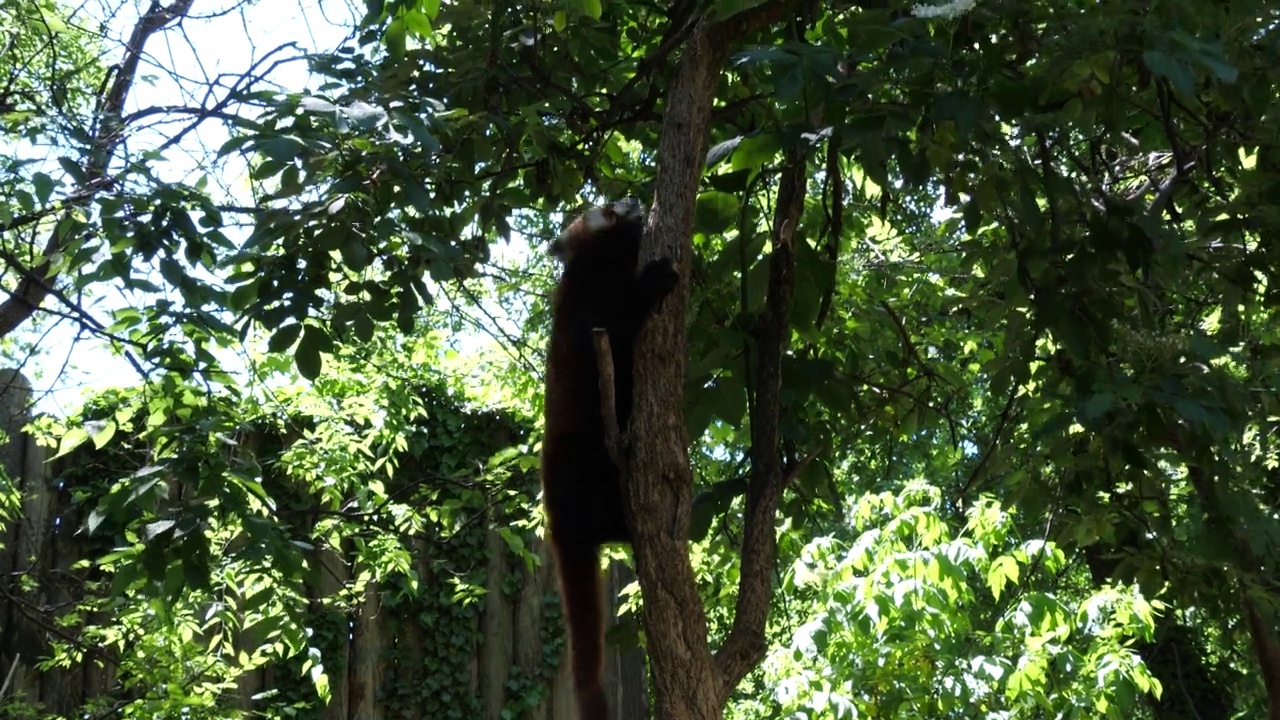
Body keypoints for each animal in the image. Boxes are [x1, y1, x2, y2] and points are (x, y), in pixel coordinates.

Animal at [540, 197, 680, 717]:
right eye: (607, 208)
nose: (634, 200)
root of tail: (558, 520)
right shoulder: (588, 317)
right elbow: (621, 327)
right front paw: (657, 279)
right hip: (582, 458)